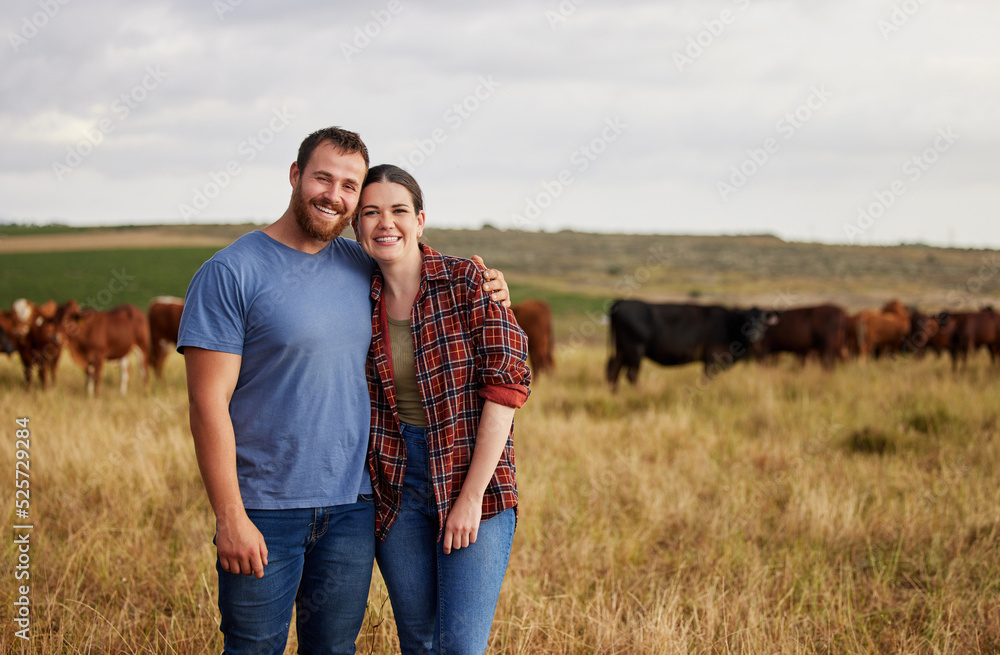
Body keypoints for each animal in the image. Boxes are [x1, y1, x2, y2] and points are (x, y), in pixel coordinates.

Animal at [604, 302, 776, 392]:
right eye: (746, 319)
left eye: (762, 321)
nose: (754, 335)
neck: (730, 325)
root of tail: (621, 302)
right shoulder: (712, 359)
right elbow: (706, 379)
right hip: (634, 350)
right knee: (631, 375)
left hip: (622, 351)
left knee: (613, 371)